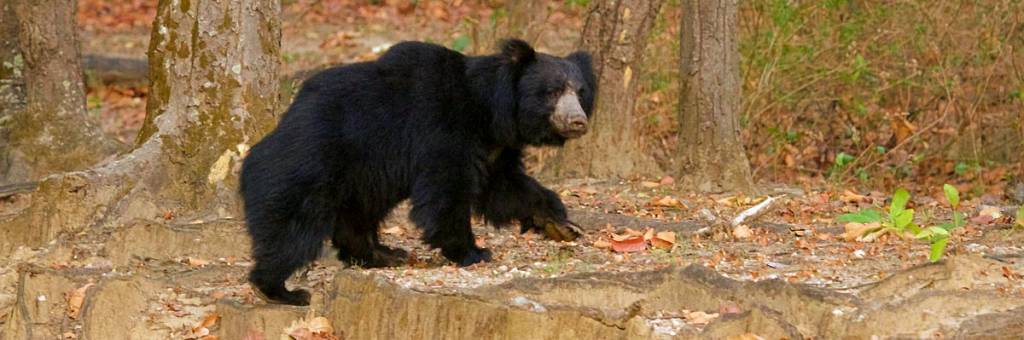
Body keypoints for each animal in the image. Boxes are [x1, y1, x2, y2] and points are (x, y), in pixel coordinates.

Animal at [240, 39, 598, 305]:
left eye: (580, 92)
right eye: (552, 91)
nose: (578, 122)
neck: (491, 113)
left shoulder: (496, 148)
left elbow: (504, 187)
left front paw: (560, 223)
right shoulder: (444, 130)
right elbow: (446, 192)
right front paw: (473, 251)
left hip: (360, 176)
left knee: (357, 216)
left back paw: (382, 254)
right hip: (310, 163)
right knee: (293, 227)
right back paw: (280, 289)